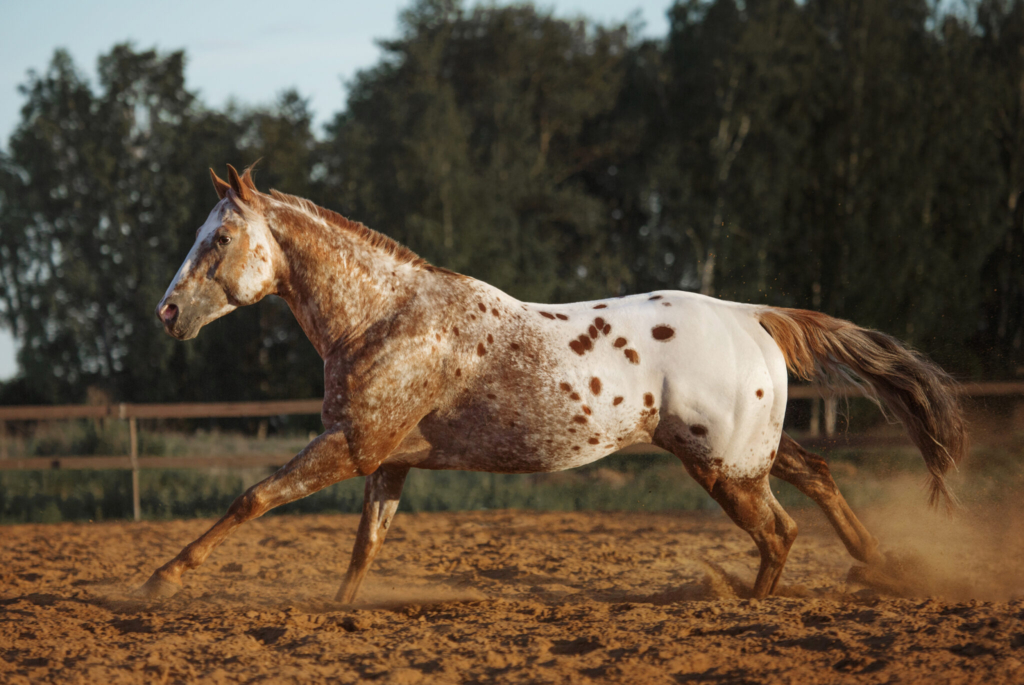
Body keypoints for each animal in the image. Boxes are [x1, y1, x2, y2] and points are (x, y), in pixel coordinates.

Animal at [139, 164, 967, 602]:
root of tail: (753, 315)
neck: (386, 316)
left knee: (780, 531)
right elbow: (364, 549)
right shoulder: (389, 460)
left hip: (726, 467)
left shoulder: (352, 444)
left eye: (218, 238)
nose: (167, 311)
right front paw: (342, 609)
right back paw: (878, 562)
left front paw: (159, 578)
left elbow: (253, 497)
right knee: (818, 475)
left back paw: (756, 603)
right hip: (743, 453)